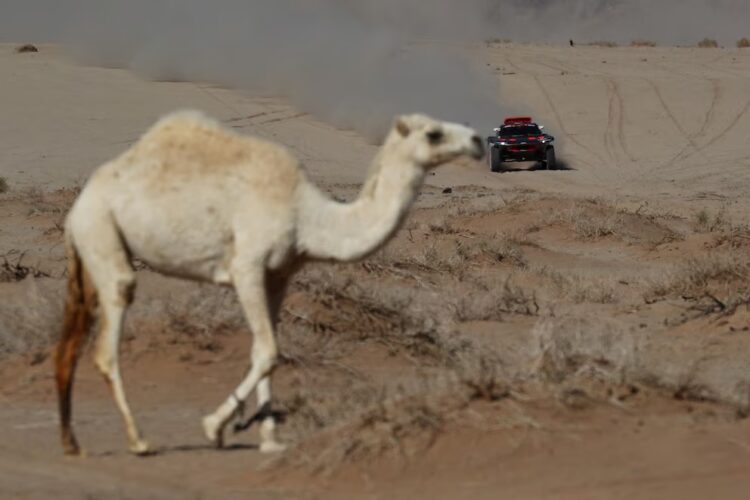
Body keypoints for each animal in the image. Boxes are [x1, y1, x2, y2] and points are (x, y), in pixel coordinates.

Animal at [55, 111, 484, 456]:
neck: (308, 217)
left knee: (69, 343)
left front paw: (268, 438)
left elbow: (266, 351)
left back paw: (72, 443)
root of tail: (78, 207)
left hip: (91, 250)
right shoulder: (247, 266)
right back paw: (138, 441)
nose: (479, 141)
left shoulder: (278, 275)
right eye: (433, 133)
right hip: (102, 232)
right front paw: (216, 427)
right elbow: (267, 351)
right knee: (108, 338)